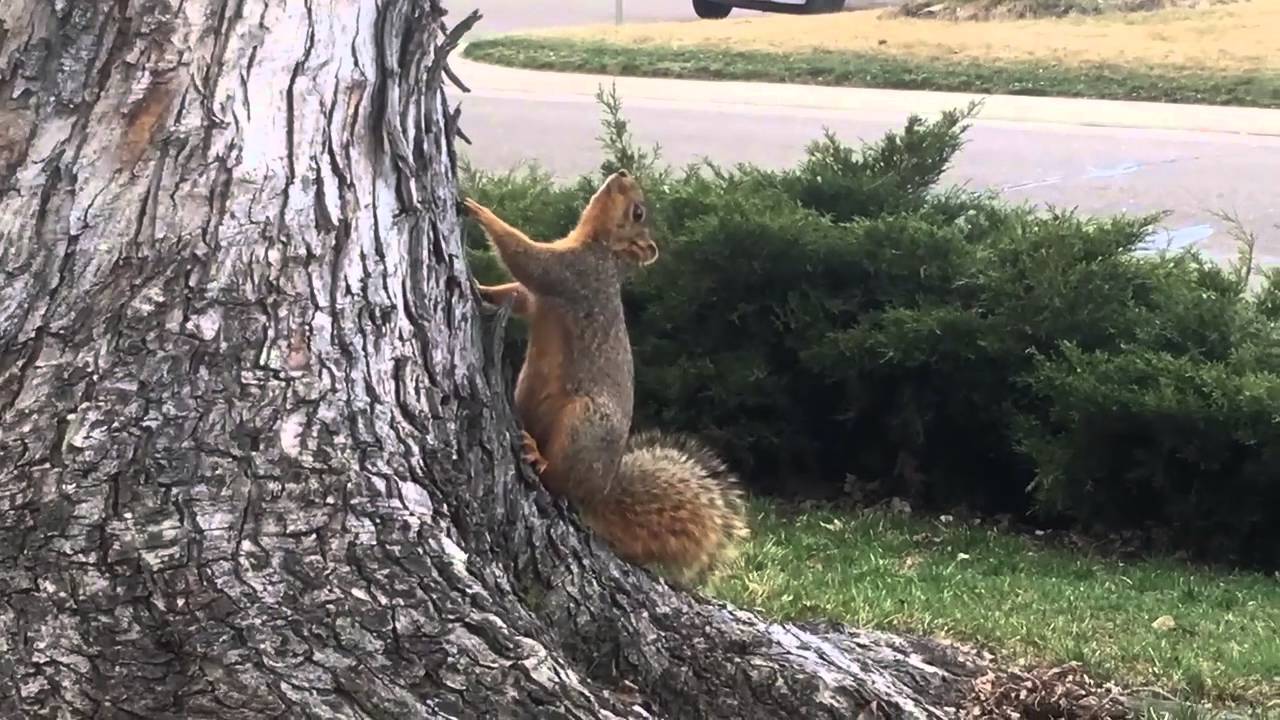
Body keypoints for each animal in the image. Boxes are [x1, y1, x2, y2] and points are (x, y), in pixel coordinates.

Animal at [463, 170, 749, 583]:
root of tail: (600, 492)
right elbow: (519, 295)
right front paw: (481, 287)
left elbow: (527, 260)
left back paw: (539, 458)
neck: (600, 250)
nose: (623, 174)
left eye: (637, 212)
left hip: (583, 424)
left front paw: (480, 211)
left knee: (561, 480)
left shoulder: (575, 274)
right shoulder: (550, 292)